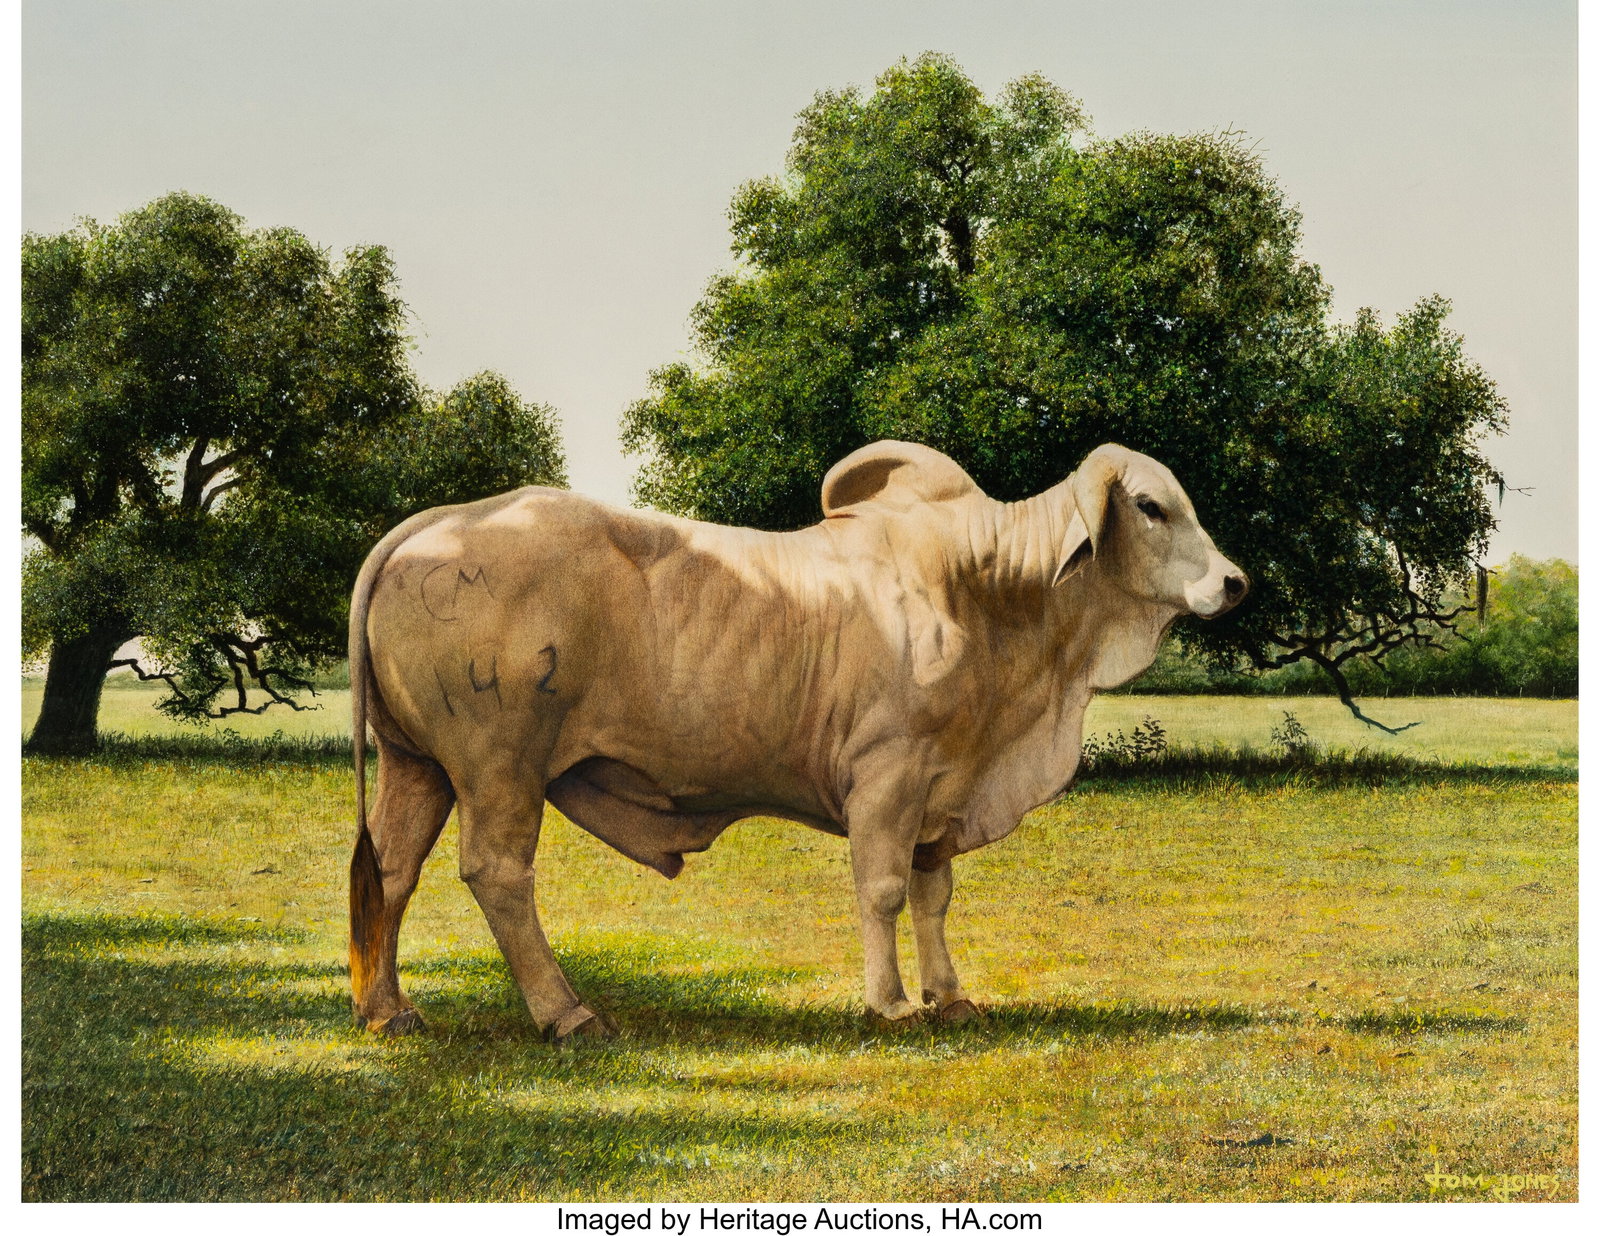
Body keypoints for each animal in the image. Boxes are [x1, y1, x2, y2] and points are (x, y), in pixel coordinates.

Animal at [348, 441, 1247, 1039]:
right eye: (1151, 507)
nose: (1235, 582)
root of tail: (441, 520)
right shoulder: (889, 773)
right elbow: (882, 890)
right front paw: (892, 1004)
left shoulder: (943, 787)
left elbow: (934, 897)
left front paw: (950, 996)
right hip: (500, 764)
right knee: (496, 874)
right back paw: (566, 1012)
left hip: (417, 763)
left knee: (390, 871)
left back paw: (388, 1010)